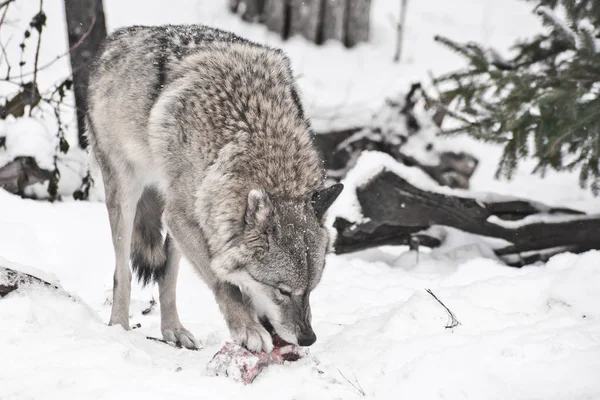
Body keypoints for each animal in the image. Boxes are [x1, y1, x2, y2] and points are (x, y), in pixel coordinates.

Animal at [86, 24, 344, 350]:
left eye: (310, 289)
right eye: (282, 290)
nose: (308, 338)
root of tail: (114, 38)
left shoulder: (197, 220)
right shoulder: (183, 218)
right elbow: (224, 283)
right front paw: (248, 329)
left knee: (167, 276)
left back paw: (173, 330)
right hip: (128, 194)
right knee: (123, 273)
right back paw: (119, 328)